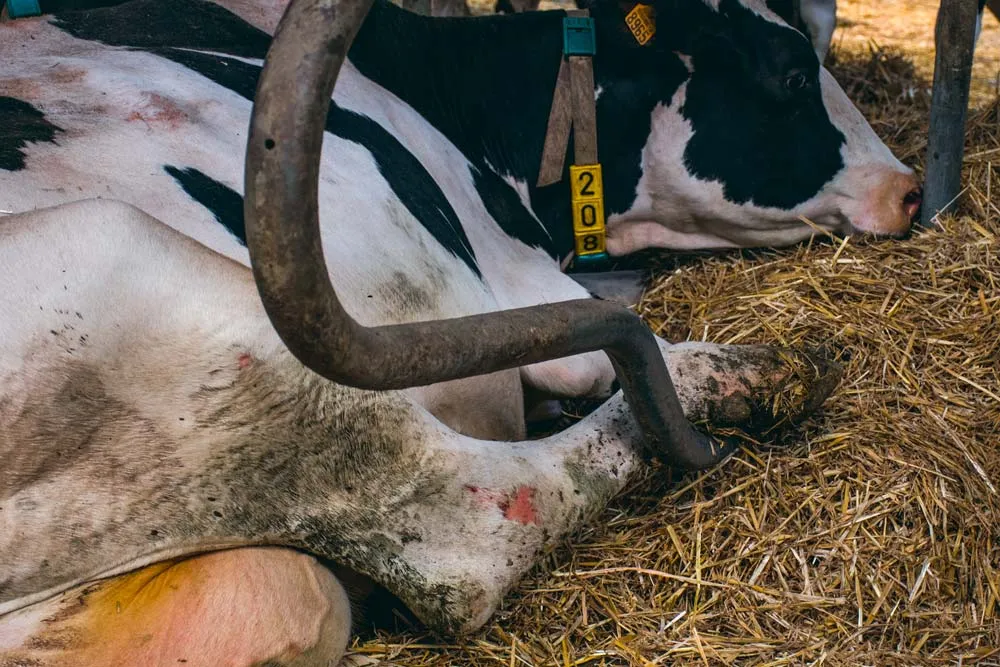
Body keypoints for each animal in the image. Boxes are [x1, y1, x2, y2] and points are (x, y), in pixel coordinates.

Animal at [1, 0, 916, 663]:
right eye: (792, 74)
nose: (909, 189)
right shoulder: (517, 273)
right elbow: (609, 350)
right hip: (148, 279)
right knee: (475, 535)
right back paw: (752, 373)